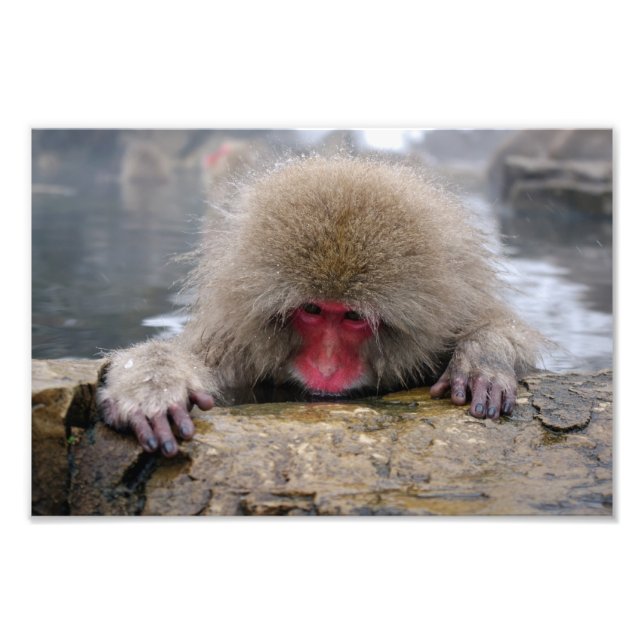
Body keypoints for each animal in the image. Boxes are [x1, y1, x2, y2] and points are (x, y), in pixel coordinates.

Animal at [97, 155, 541, 457]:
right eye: (312, 310)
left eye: (353, 316)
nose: (326, 368)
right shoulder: (238, 348)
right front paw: (154, 385)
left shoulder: (444, 324)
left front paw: (484, 358)